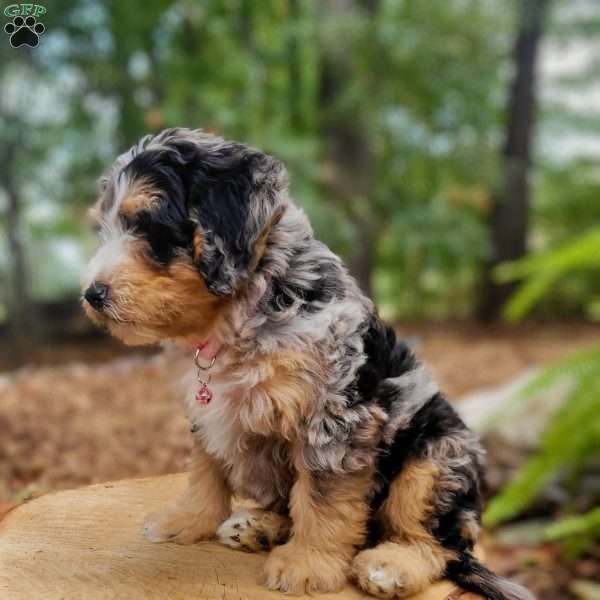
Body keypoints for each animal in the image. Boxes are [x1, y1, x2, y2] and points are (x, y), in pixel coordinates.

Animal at [83, 129, 536, 596]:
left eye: (149, 225)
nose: (92, 295)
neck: (238, 315)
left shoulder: (334, 419)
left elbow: (322, 497)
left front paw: (307, 564)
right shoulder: (207, 413)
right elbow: (205, 468)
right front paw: (190, 518)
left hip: (438, 458)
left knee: (434, 542)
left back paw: (391, 564)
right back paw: (259, 527)